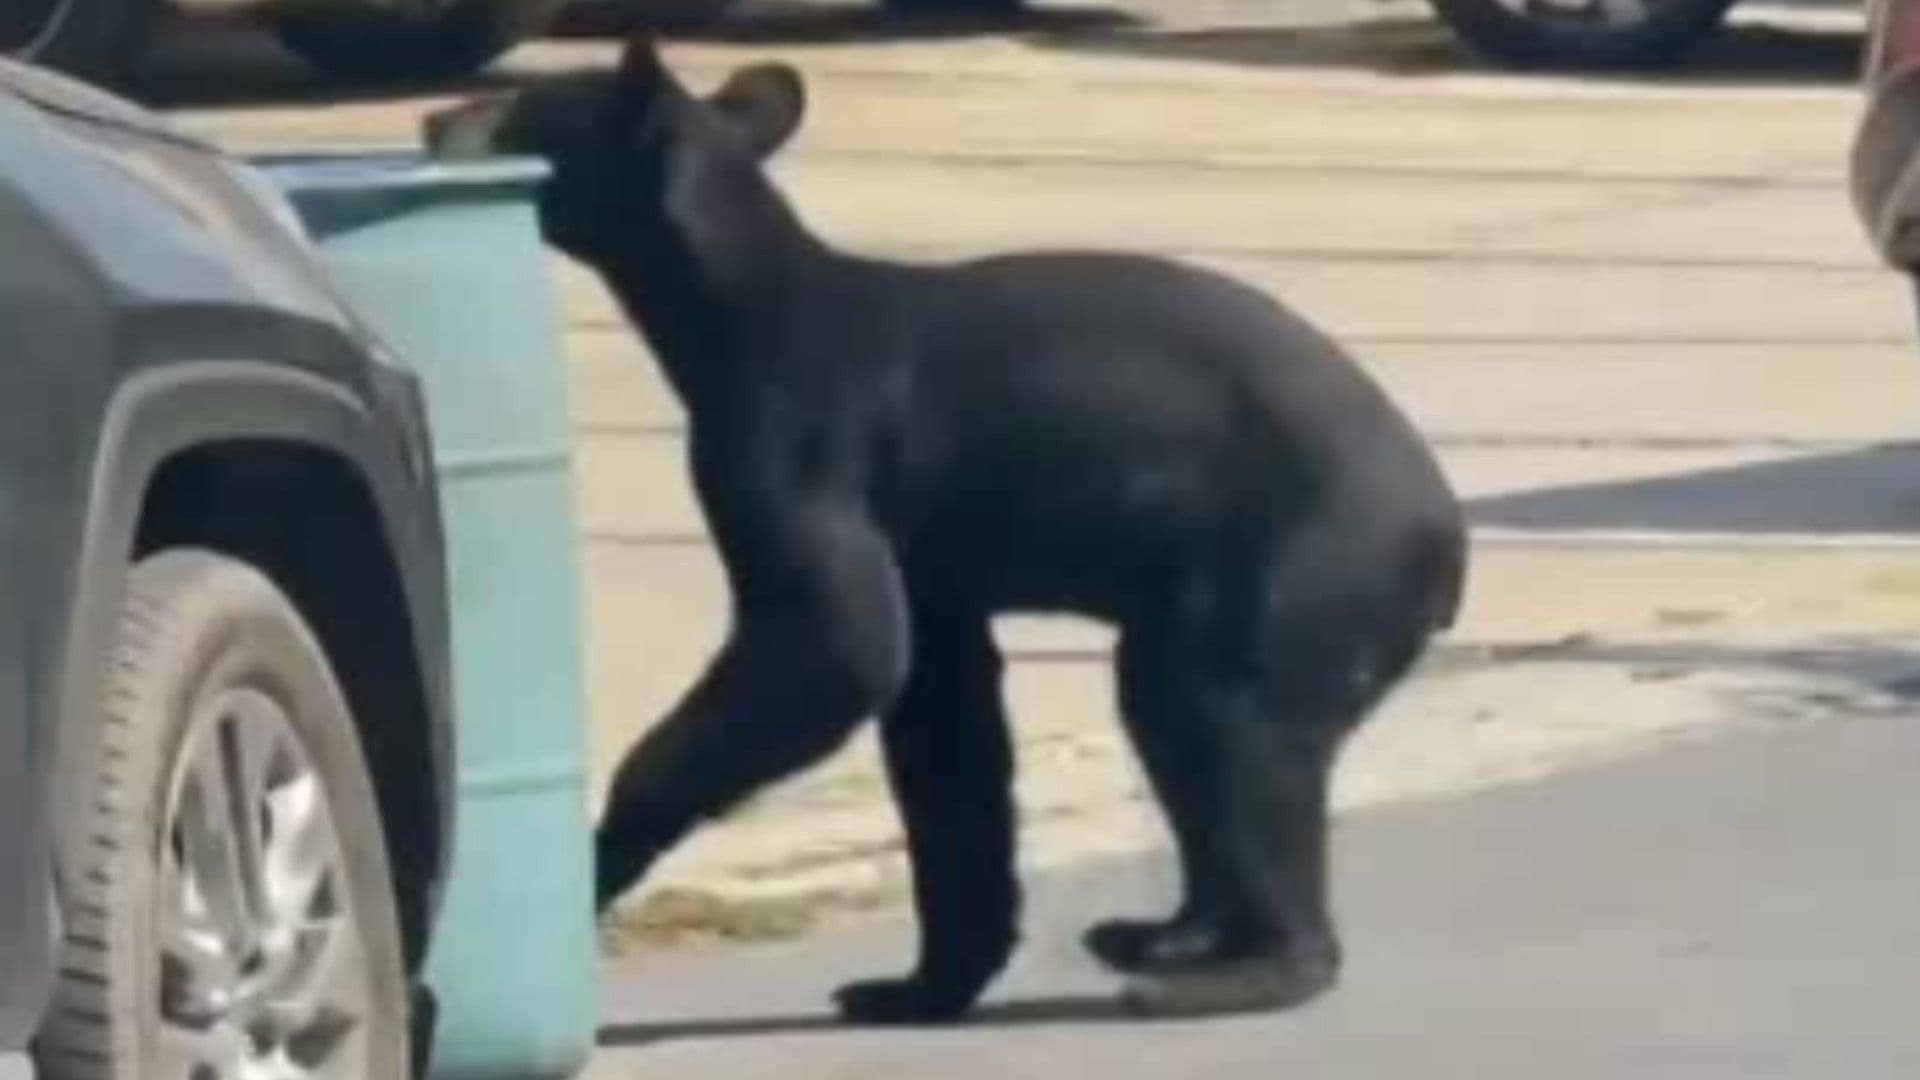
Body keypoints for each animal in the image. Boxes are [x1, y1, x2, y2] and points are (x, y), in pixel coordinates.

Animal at [426, 38, 1466, 1025]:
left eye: (522, 106)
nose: (434, 119)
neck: (728, 309)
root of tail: (1446, 542)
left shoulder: (797, 449)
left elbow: (834, 642)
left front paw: (599, 859)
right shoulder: (928, 552)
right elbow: (943, 716)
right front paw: (917, 984)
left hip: (1300, 571)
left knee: (1228, 725)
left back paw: (1240, 967)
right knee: (1178, 725)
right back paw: (1171, 934)